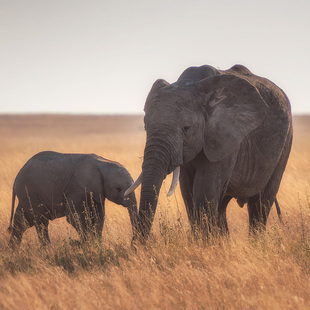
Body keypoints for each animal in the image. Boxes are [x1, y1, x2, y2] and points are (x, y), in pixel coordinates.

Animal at [7, 151, 137, 248]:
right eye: (118, 188)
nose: (132, 244)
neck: (103, 162)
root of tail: (16, 179)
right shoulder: (76, 188)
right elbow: (74, 216)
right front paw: (86, 245)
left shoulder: (97, 191)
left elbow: (99, 216)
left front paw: (97, 245)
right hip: (29, 192)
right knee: (41, 222)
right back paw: (48, 250)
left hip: (26, 195)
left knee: (21, 222)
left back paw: (13, 251)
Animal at [126, 65, 294, 240]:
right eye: (146, 127)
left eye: (186, 129)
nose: (137, 244)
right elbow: (188, 192)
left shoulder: (226, 137)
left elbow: (204, 191)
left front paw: (204, 244)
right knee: (222, 206)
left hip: (286, 141)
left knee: (261, 203)